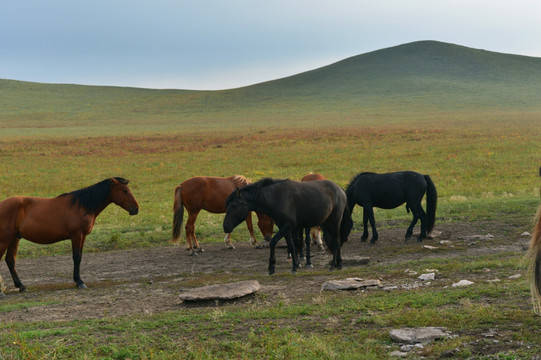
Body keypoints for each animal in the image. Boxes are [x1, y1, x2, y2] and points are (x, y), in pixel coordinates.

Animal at [1, 176, 139, 296]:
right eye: (125, 191)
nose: (136, 209)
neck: (82, 205)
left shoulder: (83, 236)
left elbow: (80, 257)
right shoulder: (76, 235)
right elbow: (76, 257)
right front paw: (80, 282)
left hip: (14, 238)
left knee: (10, 260)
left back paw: (21, 286)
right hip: (5, 239)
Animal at [223, 178, 352, 276]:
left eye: (234, 206)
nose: (225, 227)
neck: (276, 198)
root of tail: (340, 189)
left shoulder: (288, 225)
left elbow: (273, 242)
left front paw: (271, 266)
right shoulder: (284, 227)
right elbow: (291, 245)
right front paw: (295, 267)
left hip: (334, 221)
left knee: (337, 240)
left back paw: (333, 265)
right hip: (327, 224)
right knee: (335, 241)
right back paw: (339, 264)